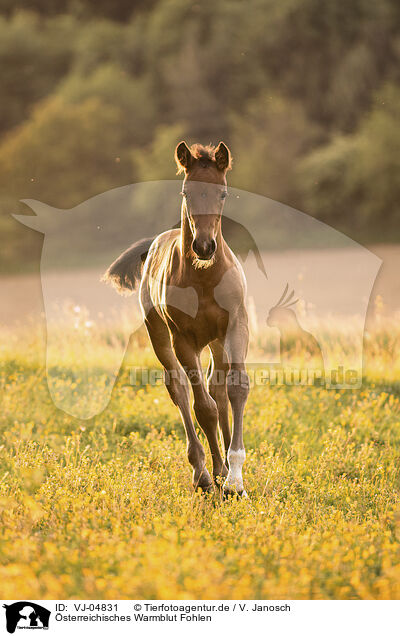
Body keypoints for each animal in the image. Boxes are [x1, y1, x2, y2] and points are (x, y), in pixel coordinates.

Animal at [104, 142, 248, 494]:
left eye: (223, 193)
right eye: (186, 192)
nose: (204, 246)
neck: (204, 277)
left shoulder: (237, 324)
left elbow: (235, 389)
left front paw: (235, 478)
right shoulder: (182, 338)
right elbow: (203, 408)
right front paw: (217, 477)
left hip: (216, 341)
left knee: (217, 388)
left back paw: (223, 468)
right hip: (161, 335)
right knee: (180, 389)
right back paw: (204, 472)